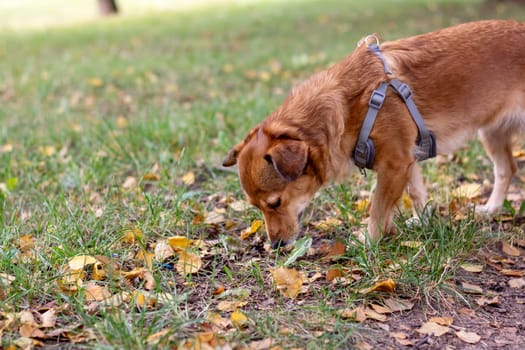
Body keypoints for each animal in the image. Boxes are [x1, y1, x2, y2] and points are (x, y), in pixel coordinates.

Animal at [222, 20, 524, 249]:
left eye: (276, 203)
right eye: (256, 207)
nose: (275, 246)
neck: (346, 106)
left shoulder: (395, 164)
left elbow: (378, 209)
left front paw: (369, 241)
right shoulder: (407, 160)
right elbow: (416, 192)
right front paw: (422, 221)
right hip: (491, 132)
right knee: (506, 169)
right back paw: (492, 209)